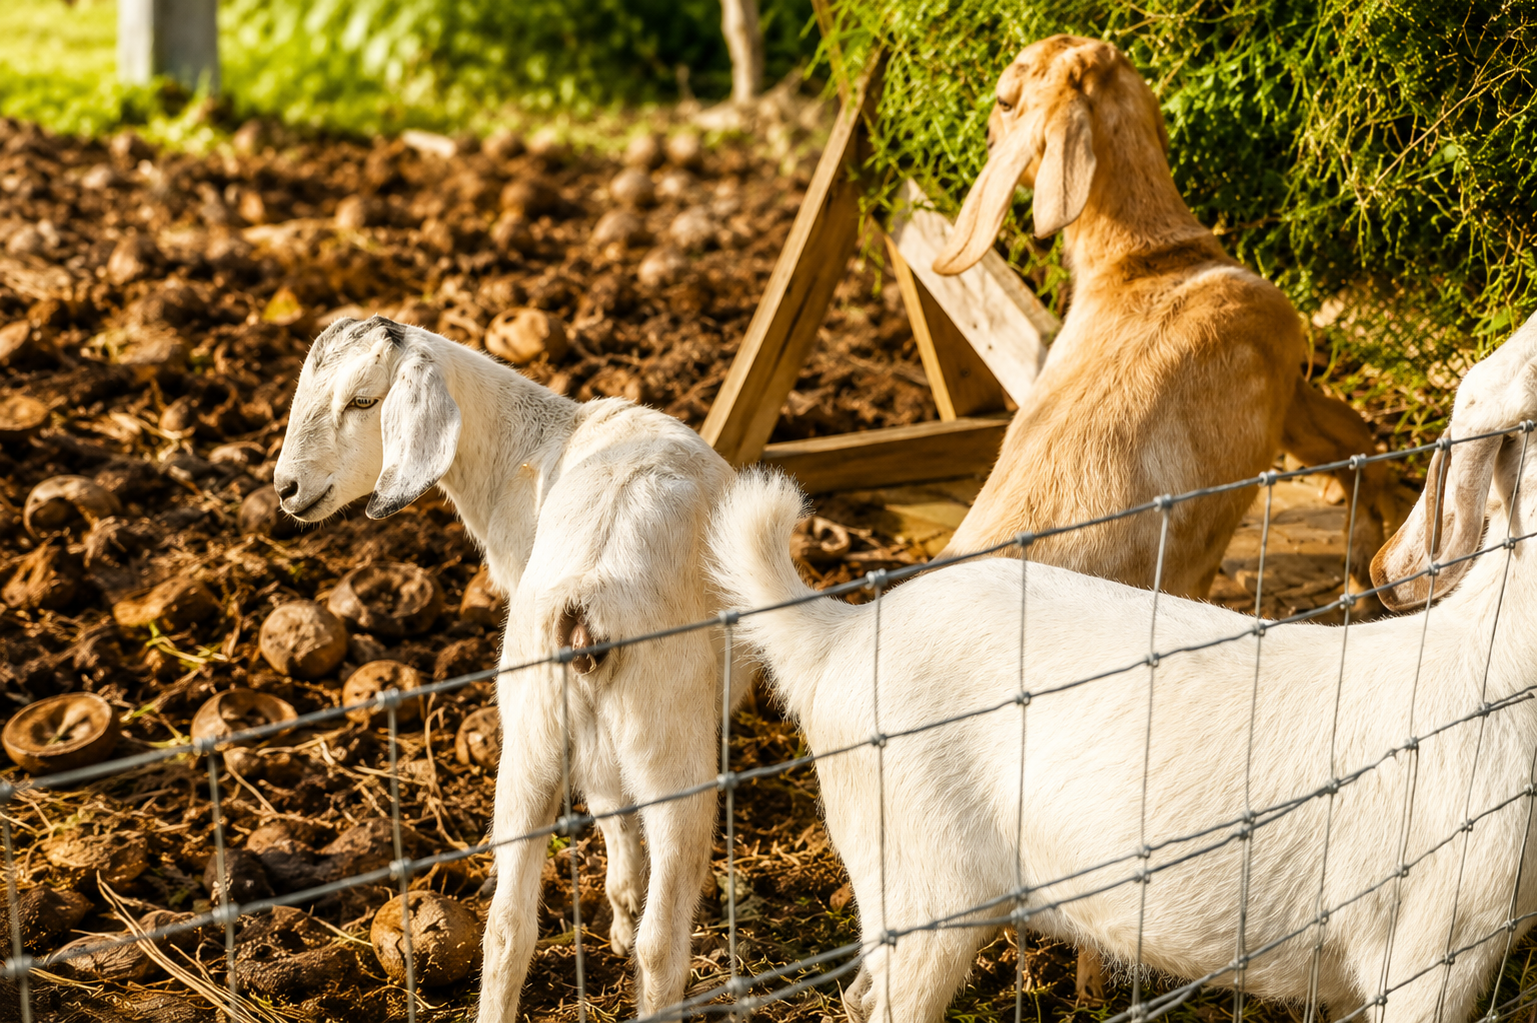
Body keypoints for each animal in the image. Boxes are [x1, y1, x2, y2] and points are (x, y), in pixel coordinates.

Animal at [273, 315, 739, 1022]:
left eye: (362, 400)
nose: (286, 490)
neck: (540, 438)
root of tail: (586, 598)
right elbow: (611, 806)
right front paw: (624, 909)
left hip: (532, 734)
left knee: (508, 926)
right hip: (664, 739)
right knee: (661, 940)